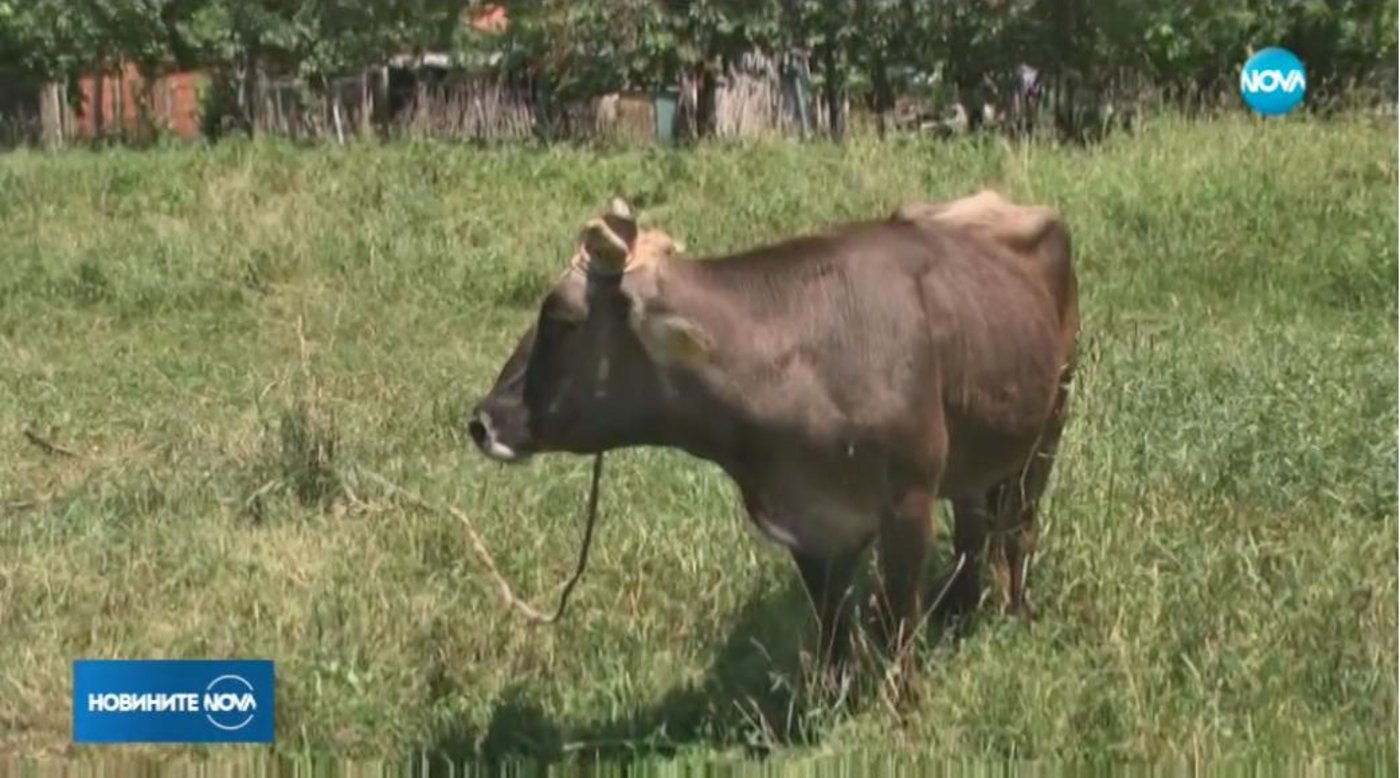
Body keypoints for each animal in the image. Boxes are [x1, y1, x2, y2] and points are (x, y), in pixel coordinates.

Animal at [467, 190, 1079, 686]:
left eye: (561, 320)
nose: (483, 422)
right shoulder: (807, 522)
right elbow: (832, 624)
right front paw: (831, 698)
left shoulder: (908, 504)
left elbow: (898, 621)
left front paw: (904, 705)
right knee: (976, 526)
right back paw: (959, 609)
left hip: (1052, 416)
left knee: (1019, 527)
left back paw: (1015, 612)